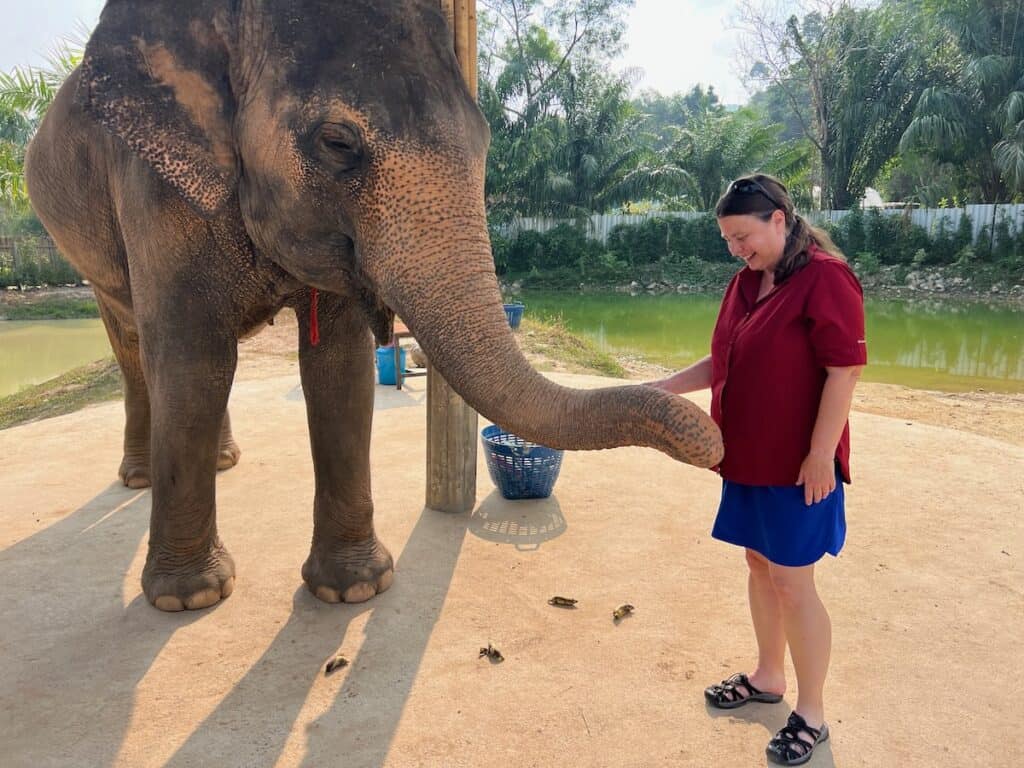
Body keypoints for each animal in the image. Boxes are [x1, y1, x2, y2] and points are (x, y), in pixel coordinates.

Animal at [25, 0, 723, 612]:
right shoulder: (150, 185)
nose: (712, 444)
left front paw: (355, 589)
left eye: (486, 138)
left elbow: (341, 368)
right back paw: (140, 478)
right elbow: (192, 361)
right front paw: (188, 598)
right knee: (138, 346)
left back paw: (222, 463)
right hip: (87, 251)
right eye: (337, 143)